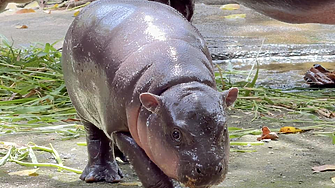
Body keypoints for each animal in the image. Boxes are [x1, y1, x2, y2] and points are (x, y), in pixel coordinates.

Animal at [62, 0, 239, 188]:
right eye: (175, 134)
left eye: (224, 129)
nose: (209, 170)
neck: (182, 81)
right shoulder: (119, 130)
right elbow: (149, 170)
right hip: (84, 109)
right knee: (96, 137)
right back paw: (101, 176)